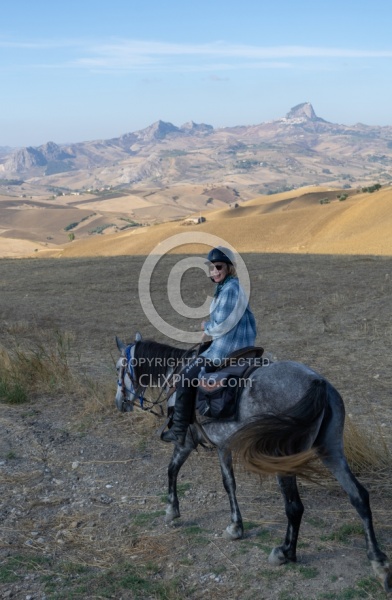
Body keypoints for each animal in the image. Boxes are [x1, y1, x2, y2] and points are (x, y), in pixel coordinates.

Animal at [115, 336, 392, 592]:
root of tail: (318, 383)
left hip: (284, 458)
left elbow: (173, 470)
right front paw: (236, 526)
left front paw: (173, 510)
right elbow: (229, 483)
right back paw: (379, 563)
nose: (120, 402)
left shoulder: (188, 442)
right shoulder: (223, 446)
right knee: (358, 496)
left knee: (294, 507)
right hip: (331, 450)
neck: (178, 372)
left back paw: (285, 553)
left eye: (119, 367)